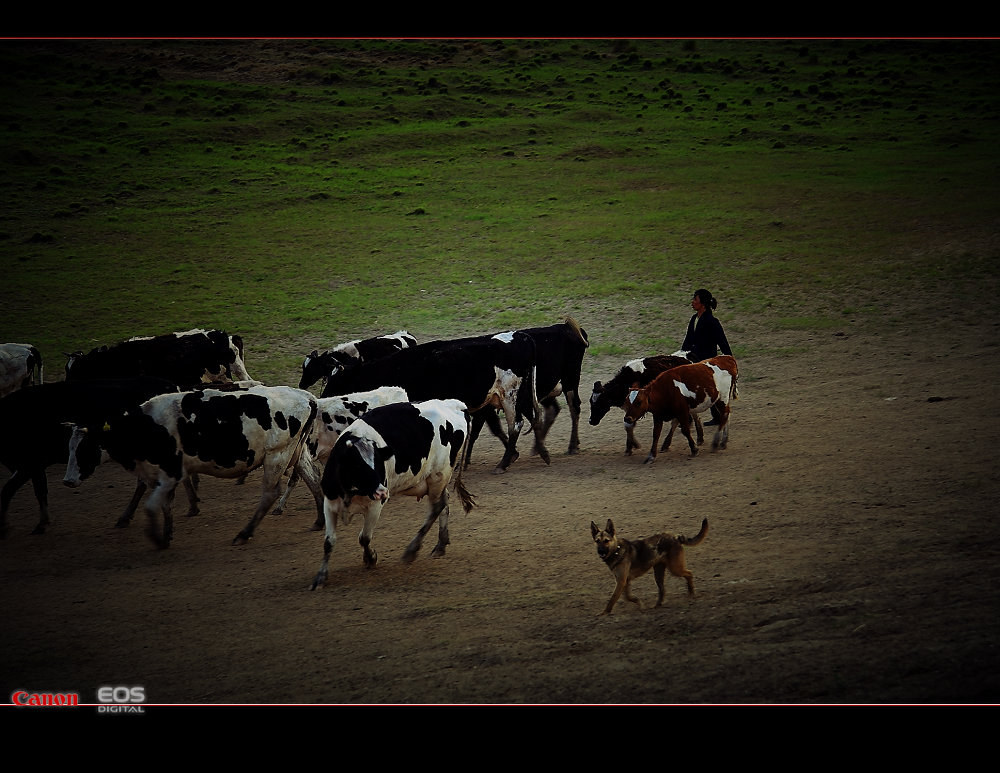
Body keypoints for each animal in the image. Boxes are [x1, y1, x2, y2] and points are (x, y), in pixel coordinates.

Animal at [0, 376, 184, 536]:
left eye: (84, 450)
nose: (68, 481)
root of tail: (170, 386)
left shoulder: (30, 464)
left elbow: (11, 490)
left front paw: (13, 526)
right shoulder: (30, 466)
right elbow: (38, 490)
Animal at [63, 382, 320, 544]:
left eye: (84, 447)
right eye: (69, 447)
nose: (67, 480)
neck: (147, 426)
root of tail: (307, 397)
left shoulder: (168, 471)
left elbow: (153, 503)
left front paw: (158, 537)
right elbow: (166, 502)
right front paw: (168, 531)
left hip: (276, 456)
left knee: (270, 493)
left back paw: (244, 533)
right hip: (296, 455)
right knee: (314, 480)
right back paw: (318, 521)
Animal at [310, 402, 474, 588]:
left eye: (378, 463)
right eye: (357, 466)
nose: (382, 491)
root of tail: (454, 404)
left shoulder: (375, 506)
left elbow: (364, 538)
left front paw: (370, 558)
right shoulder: (329, 505)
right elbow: (329, 542)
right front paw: (321, 576)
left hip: (438, 476)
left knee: (437, 507)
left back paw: (412, 549)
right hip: (435, 481)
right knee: (443, 503)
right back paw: (441, 544)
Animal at [320, 332, 540, 470]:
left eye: (337, 381)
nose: (321, 397)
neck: (396, 370)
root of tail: (522, 337)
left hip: (509, 396)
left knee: (516, 425)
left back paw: (503, 463)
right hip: (515, 396)